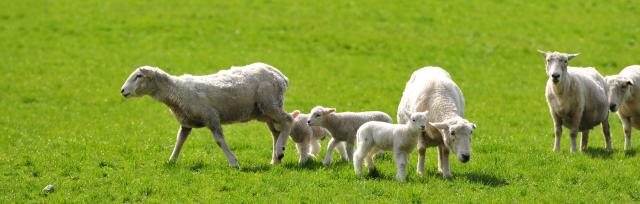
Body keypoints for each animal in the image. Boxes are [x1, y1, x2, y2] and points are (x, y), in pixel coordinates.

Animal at [120, 62, 292, 167]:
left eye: (139, 76)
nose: (122, 91)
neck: (176, 91)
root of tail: (280, 76)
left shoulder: (211, 117)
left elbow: (219, 141)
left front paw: (233, 162)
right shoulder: (186, 122)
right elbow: (179, 141)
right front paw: (171, 160)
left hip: (269, 103)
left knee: (288, 120)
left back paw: (280, 150)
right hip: (263, 111)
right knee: (275, 132)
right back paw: (275, 159)